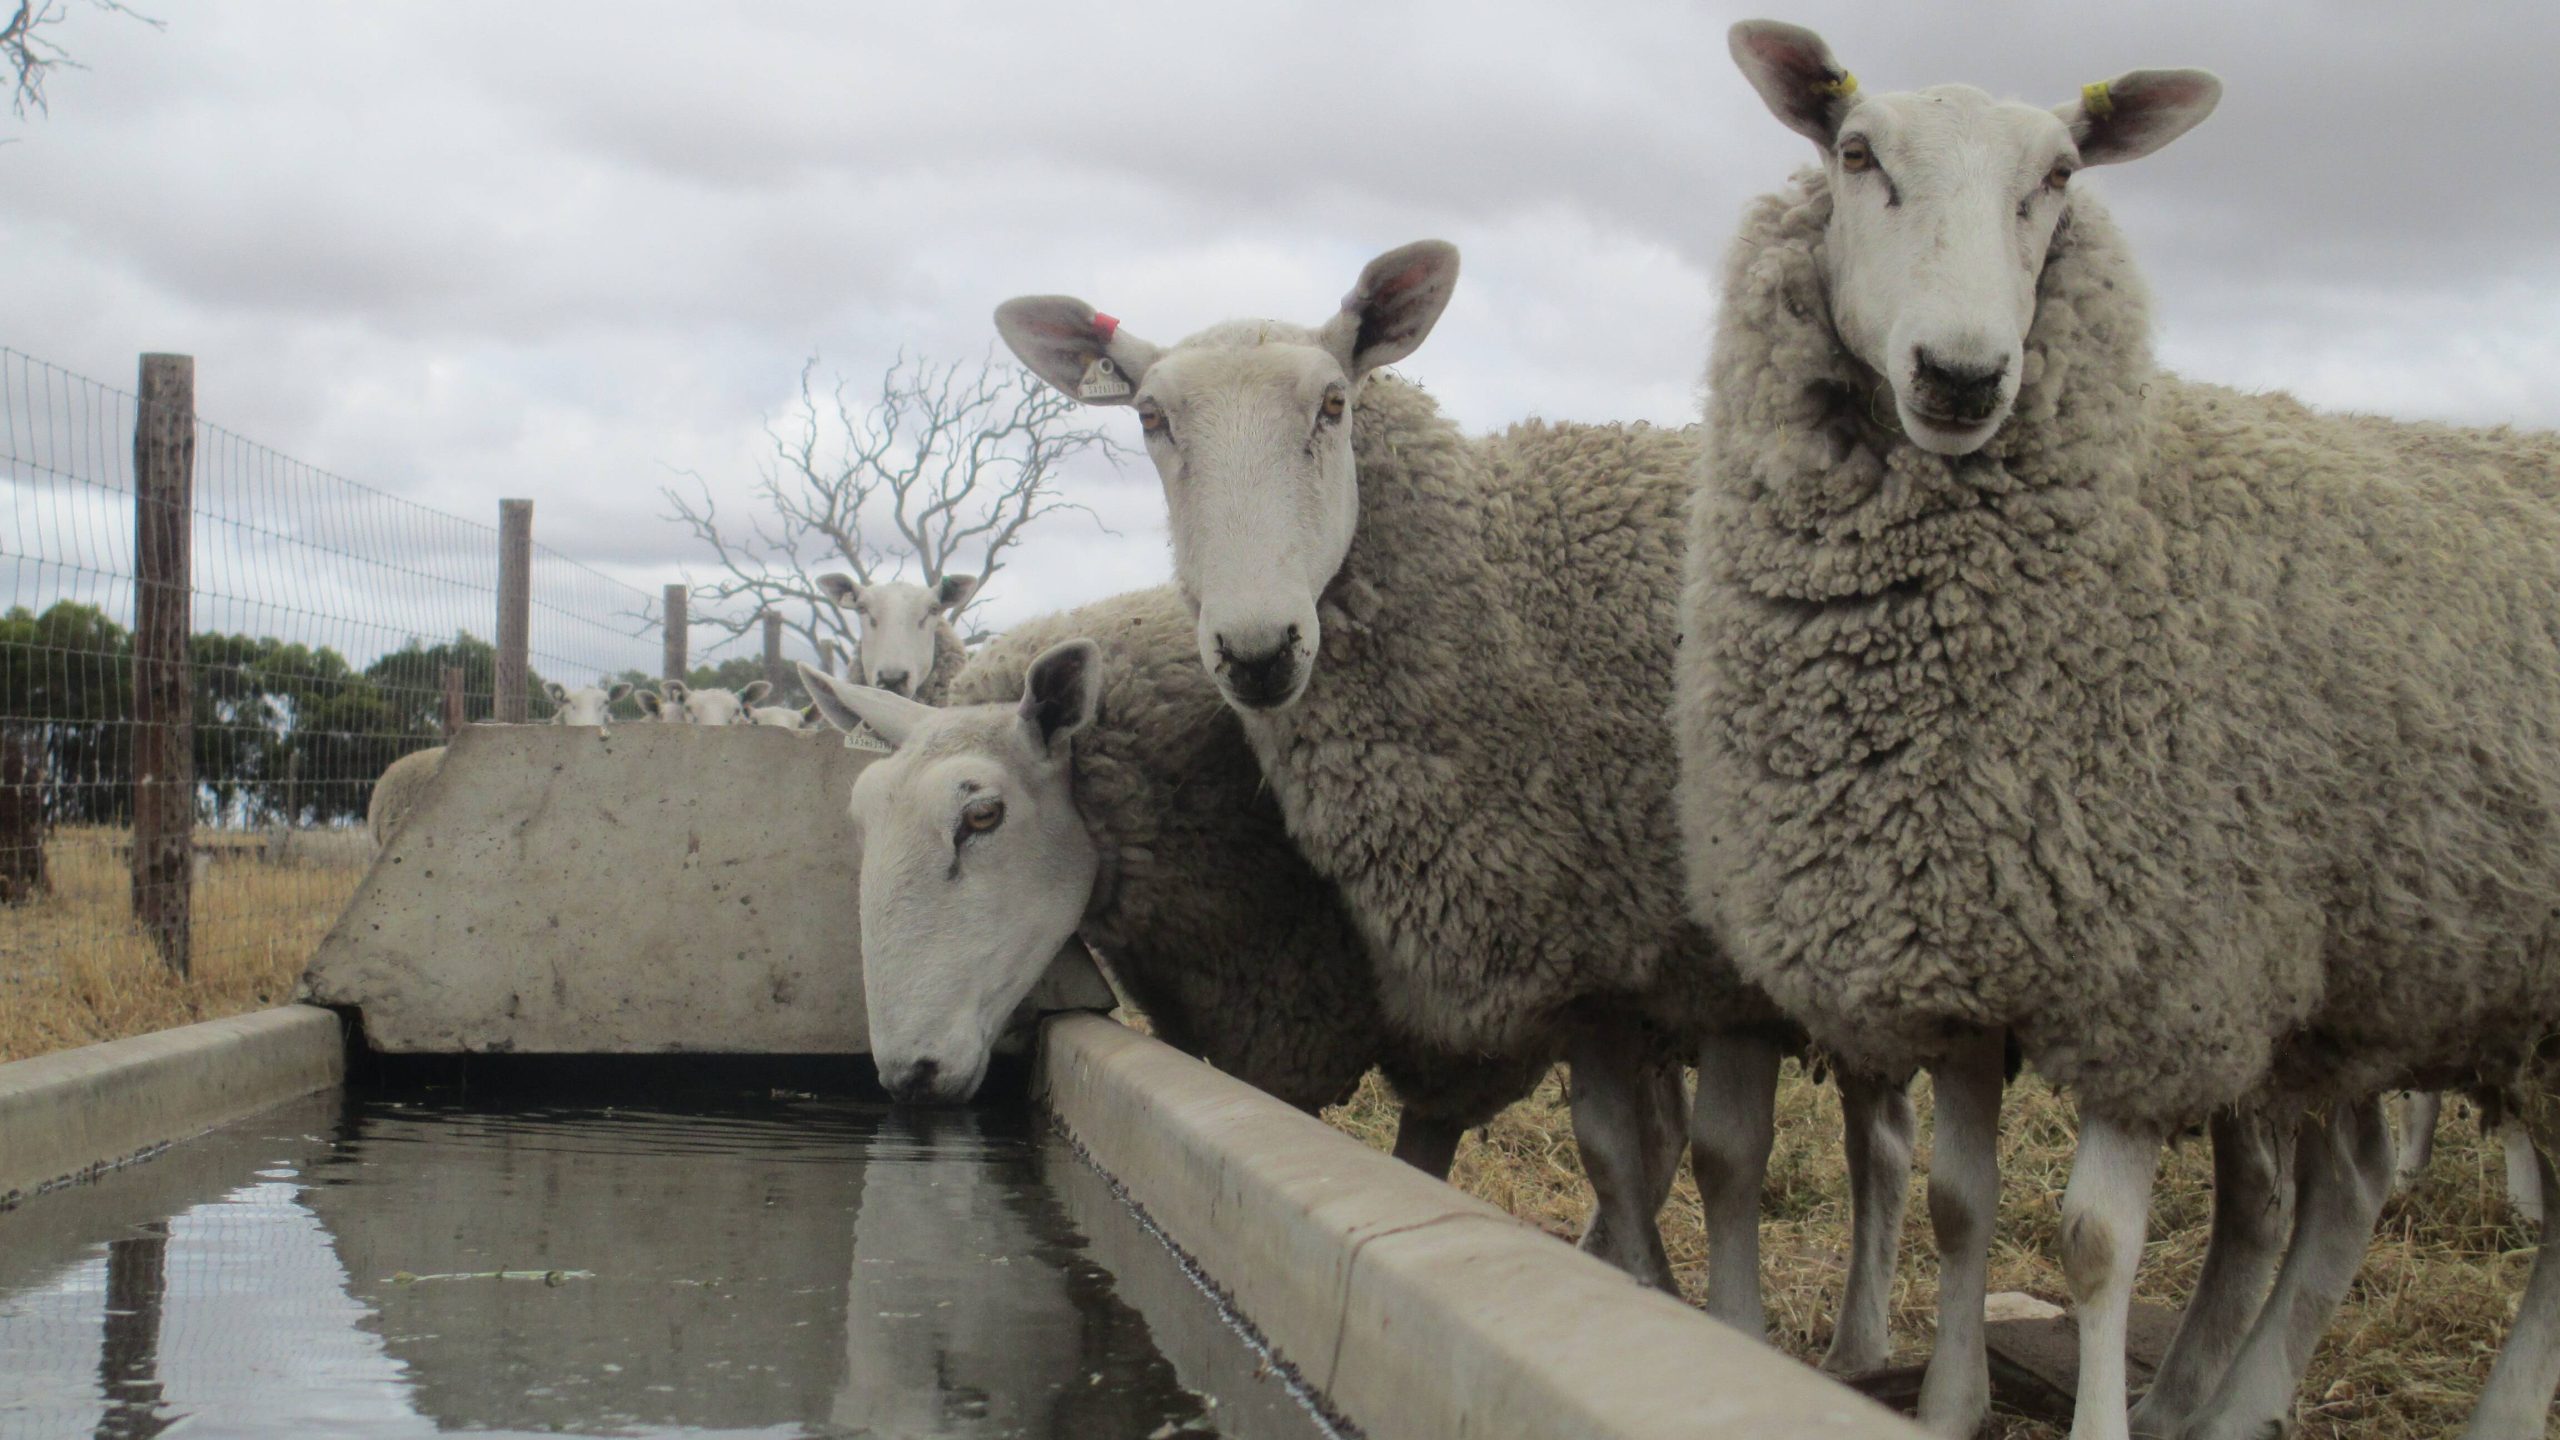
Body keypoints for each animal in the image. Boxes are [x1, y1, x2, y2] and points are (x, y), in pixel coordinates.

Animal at [993, 244, 1917, 1361]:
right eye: (1151, 419)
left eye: (1334, 405)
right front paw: (1639, 1292)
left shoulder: (1713, 959)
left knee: (1884, 1145)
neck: (1517, 599)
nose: (1257, 652)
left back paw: (1863, 1348)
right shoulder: (1588, 955)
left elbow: (1727, 1159)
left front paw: (1729, 1329)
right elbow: (1614, 1153)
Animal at [1684, 22, 2560, 1439]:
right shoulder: (1974, 950)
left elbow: (2094, 1245)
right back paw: (2232, 1400)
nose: (1963, 375)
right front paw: (1948, 1405)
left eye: (2058, 177)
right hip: (2371, 990)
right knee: (2346, 1190)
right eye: (1857, 153)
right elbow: (1959, 1204)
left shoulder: (2157, 976)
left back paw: (2481, 1410)